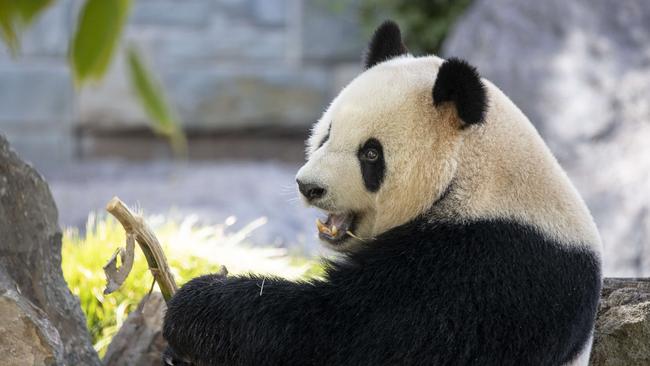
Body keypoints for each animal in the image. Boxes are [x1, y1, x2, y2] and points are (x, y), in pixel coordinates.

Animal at [163, 21, 604, 364]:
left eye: (371, 154)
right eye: (327, 134)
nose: (309, 186)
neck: (470, 177)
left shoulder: (490, 268)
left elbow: (348, 333)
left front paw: (196, 305)